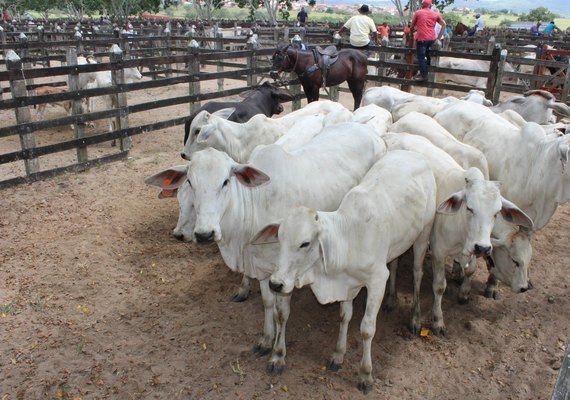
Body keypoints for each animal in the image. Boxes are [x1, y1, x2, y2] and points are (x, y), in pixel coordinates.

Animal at [144, 123, 384, 364]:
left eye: (225, 181)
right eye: (190, 182)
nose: (205, 234)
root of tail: (367, 130)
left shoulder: (285, 273)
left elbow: (281, 313)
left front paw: (278, 354)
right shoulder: (262, 269)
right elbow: (267, 304)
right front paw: (266, 340)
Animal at [253, 151, 434, 394]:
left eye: (305, 243)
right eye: (279, 238)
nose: (275, 284)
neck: (349, 237)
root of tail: (414, 153)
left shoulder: (377, 280)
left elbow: (367, 329)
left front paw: (365, 374)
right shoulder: (348, 284)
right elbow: (344, 316)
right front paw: (338, 355)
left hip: (424, 235)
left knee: (417, 273)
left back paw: (415, 318)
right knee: (395, 263)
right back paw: (391, 300)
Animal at [382, 134, 532, 318]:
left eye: (496, 213)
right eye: (515, 260)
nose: (524, 287)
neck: (462, 231)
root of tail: (392, 136)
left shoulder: (474, 248)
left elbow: (470, 270)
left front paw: (464, 293)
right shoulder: (439, 251)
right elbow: (439, 286)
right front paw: (438, 318)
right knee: (394, 264)